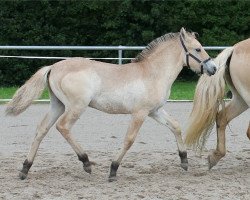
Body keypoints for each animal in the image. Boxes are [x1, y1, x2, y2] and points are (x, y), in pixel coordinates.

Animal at [6, 28, 217, 181]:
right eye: (198, 49)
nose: (213, 68)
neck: (153, 73)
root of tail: (53, 67)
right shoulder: (140, 113)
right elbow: (129, 139)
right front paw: (113, 170)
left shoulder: (155, 111)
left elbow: (175, 126)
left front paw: (184, 161)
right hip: (76, 107)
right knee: (63, 127)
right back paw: (86, 162)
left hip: (57, 105)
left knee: (41, 129)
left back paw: (25, 169)